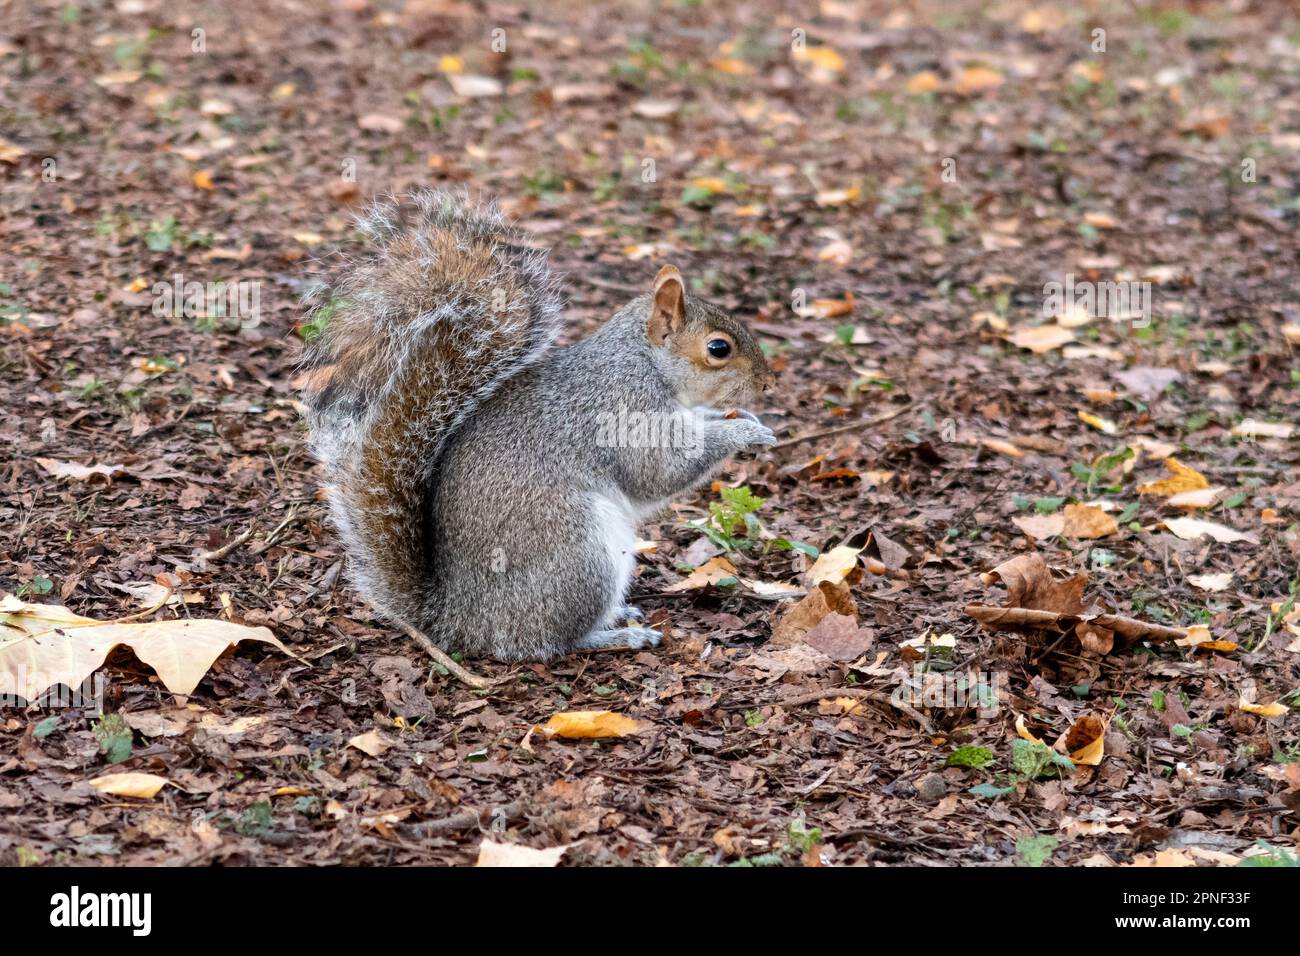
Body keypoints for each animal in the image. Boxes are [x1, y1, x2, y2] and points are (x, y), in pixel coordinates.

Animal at [299, 191, 774, 660]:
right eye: (718, 348)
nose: (768, 384)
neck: (645, 364)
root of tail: (457, 619)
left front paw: (747, 420)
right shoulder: (625, 411)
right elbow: (660, 472)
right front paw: (745, 433)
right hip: (580, 557)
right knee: (548, 641)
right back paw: (617, 636)